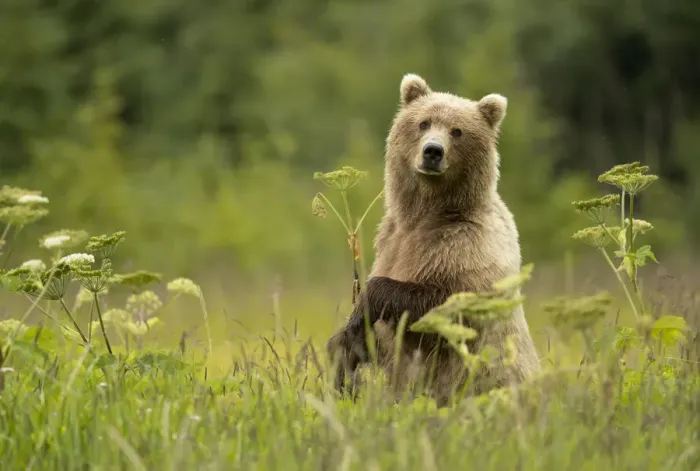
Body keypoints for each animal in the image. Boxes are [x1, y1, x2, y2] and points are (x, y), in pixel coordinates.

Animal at [326, 73, 541, 407]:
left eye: (457, 131)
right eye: (423, 122)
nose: (433, 151)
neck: (426, 213)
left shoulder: (467, 245)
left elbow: (446, 305)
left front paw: (363, 309)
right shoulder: (391, 241)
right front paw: (345, 350)